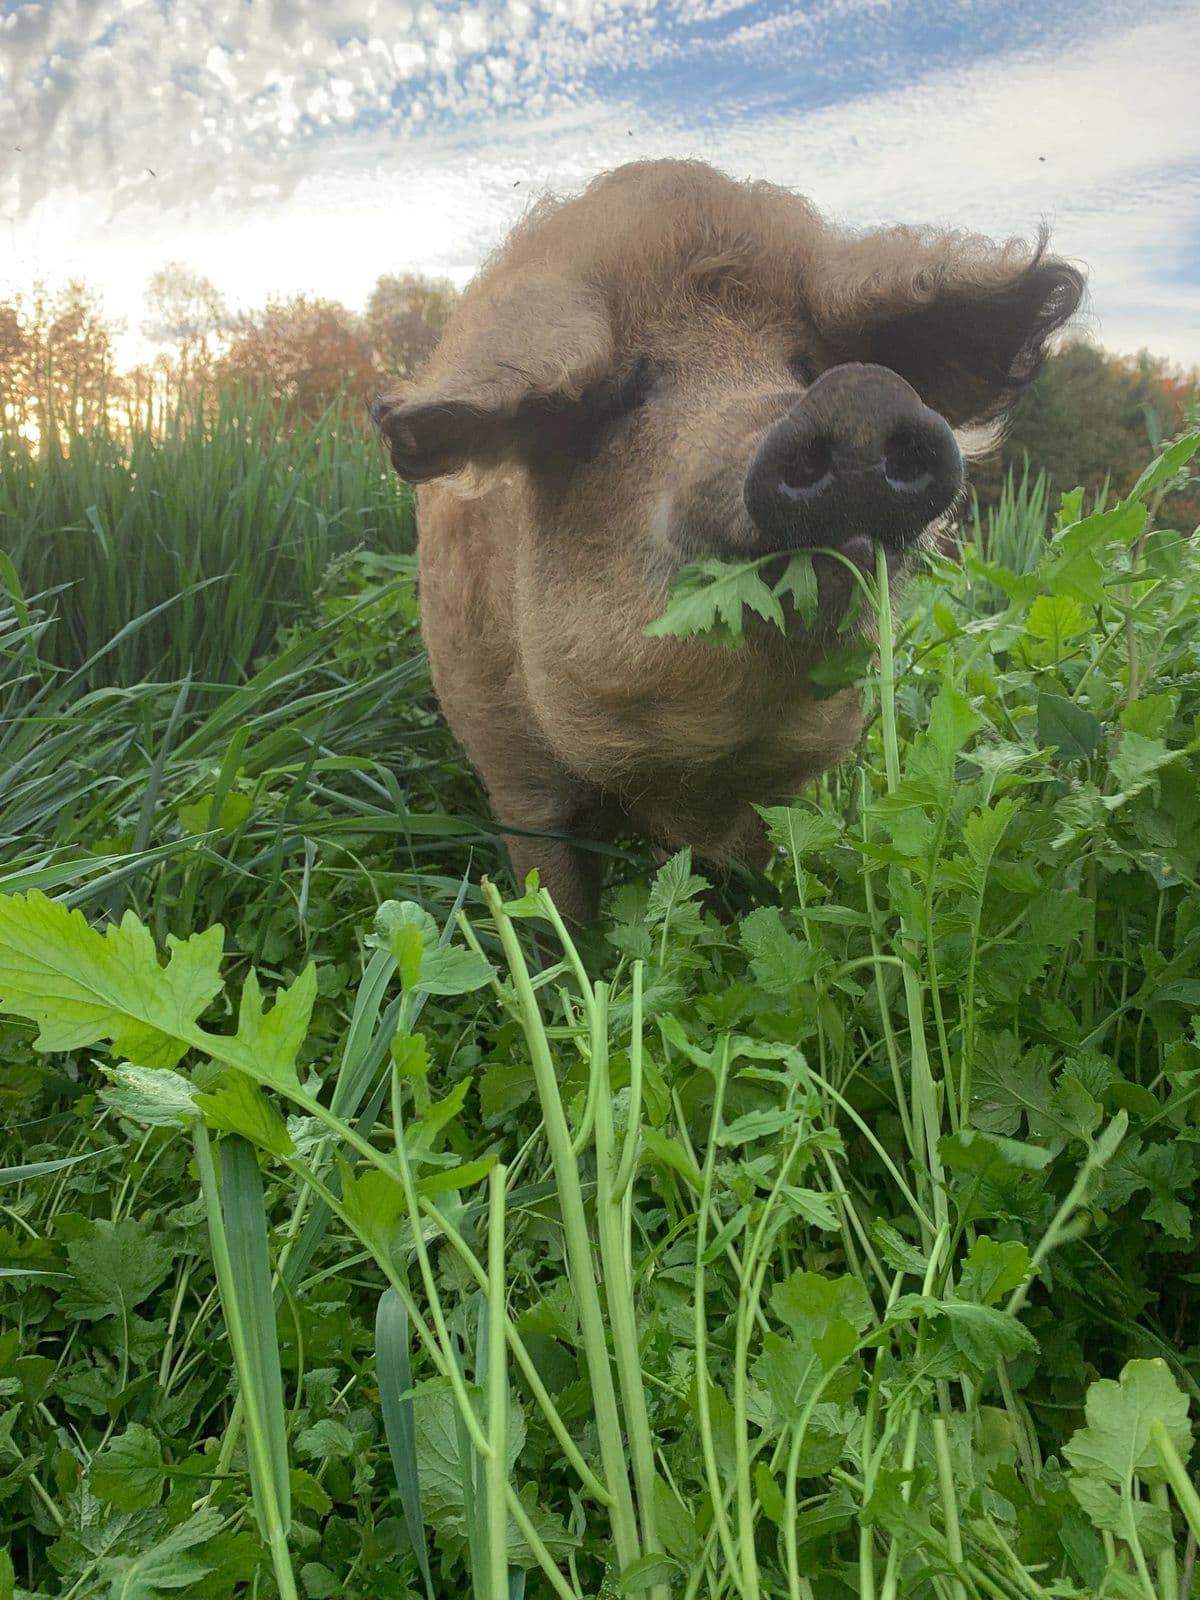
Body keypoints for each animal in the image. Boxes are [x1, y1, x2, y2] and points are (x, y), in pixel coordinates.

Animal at [372, 159, 1084, 924]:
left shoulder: (767, 797)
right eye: (624, 394)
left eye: (806, 368)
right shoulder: (515, 774)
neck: (690, 770)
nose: (860, 397)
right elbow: (556, 907)